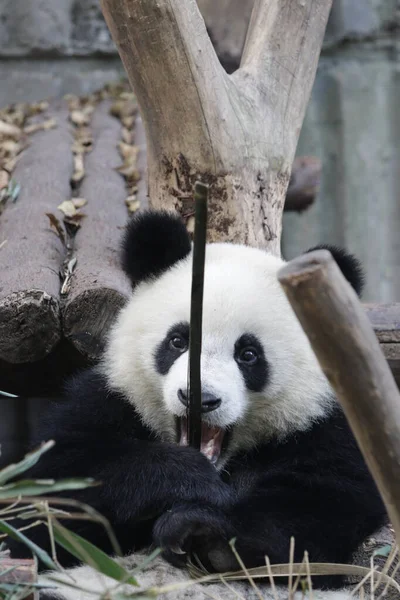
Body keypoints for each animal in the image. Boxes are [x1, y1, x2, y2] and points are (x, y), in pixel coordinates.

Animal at [7, 210, 388, 596]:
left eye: (248, 354)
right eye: (178, 341)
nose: (199, 399)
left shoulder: (325, 425)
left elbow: (322, 505)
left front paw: (202, 532)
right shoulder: (110, 398)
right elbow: (51, 488)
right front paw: (190, 479)